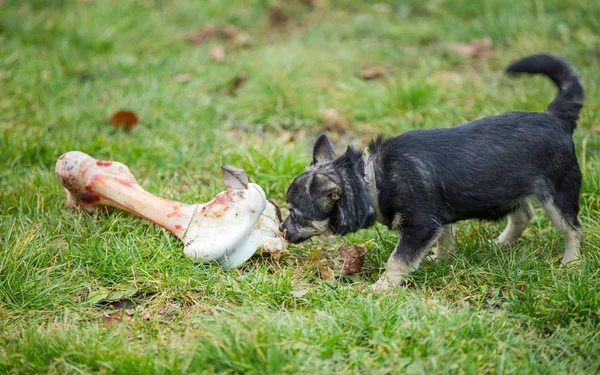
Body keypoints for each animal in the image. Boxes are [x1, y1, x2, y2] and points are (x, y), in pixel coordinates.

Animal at [282, 53, 584, 290]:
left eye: (296, 215)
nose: (283, 231)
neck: (371, 179)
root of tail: (556, 117)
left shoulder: (420, 226)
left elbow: (397, 261)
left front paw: (381, 288)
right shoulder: (439, 220)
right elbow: (445, 241)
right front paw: (441, 262)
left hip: (559, 193)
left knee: (573, 228)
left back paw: (571, 262)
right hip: (508, 189)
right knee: (524, 214)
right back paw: (501, 244)